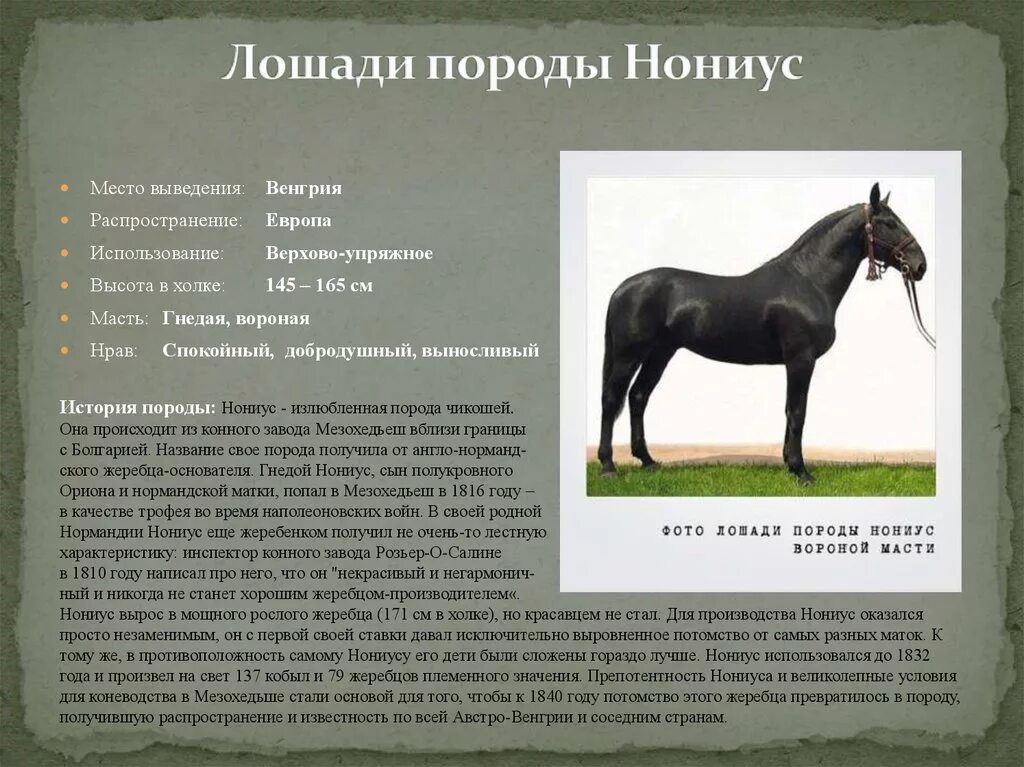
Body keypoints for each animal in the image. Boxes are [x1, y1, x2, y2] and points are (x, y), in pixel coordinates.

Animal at [597, 182, 928, 484]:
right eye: (889, 223)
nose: (919, 265)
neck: (808, 280)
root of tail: (621, 289)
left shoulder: (795, 362)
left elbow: (789, 411)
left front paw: (789, 464)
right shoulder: (801, 360)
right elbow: (797, 412)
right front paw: (801, 471)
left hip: (660, 353)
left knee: (638, 396)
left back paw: (648, 461)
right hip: (629, 356)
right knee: (612, 400)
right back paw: (609, 466)